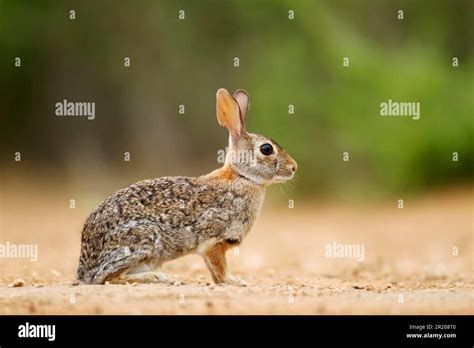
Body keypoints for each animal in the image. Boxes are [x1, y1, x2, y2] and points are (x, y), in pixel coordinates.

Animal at [78, 87, 298, 286]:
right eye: (266, 149)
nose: (294, 167)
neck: (242, 176)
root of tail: (84, 270)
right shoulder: (214, 241)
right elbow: (219, 267)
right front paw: (234, 281)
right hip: (142, 238)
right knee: (109, 278)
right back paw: (158, 277)